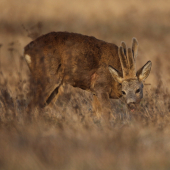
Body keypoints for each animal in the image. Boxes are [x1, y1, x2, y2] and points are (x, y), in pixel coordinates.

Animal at [23, 31, 151, 119]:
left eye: (138, 89)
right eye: (123, 91)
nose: (131, 105)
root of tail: (26, 50)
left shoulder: (94, 91)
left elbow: (97, 114)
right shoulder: (100, 86)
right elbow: (106, 113)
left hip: (55, 87)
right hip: (47, 78)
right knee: (30, 107)